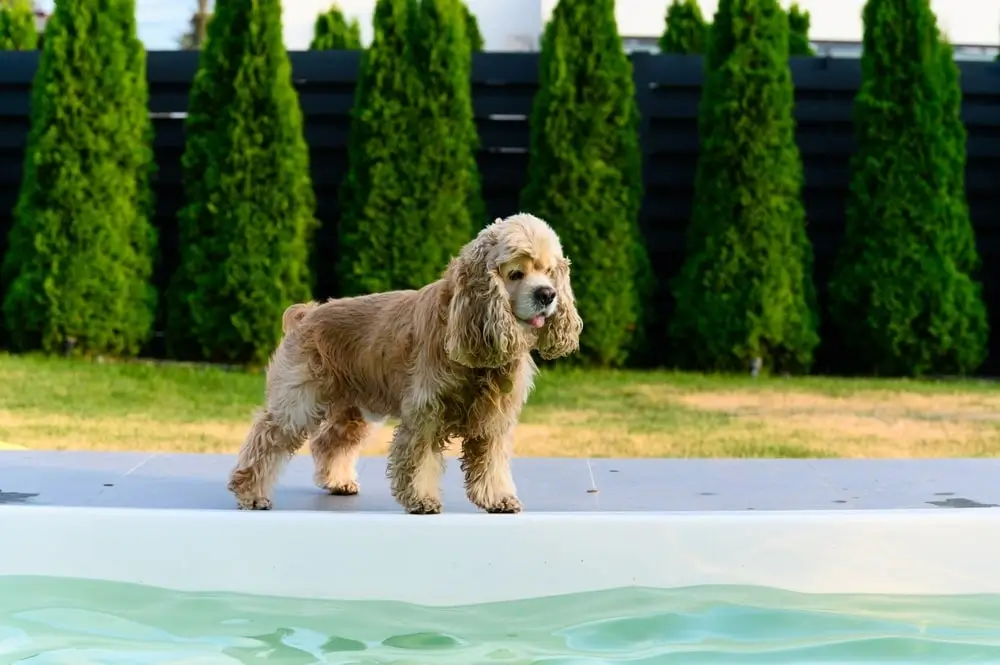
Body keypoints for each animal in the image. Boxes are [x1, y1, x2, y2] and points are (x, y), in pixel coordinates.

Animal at [225, 213, 584, 512]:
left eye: (549, 271)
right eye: (515, 273)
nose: (547, 294)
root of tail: (305, 314)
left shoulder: (493, 419)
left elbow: (491, 463)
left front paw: (498, 498)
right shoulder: (426, 411)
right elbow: (419, 459)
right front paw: (422, 499)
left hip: (352, 409)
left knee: (330, 441)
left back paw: (337, 481)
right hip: (298, 399)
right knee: (267, 437)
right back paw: (250, 493)